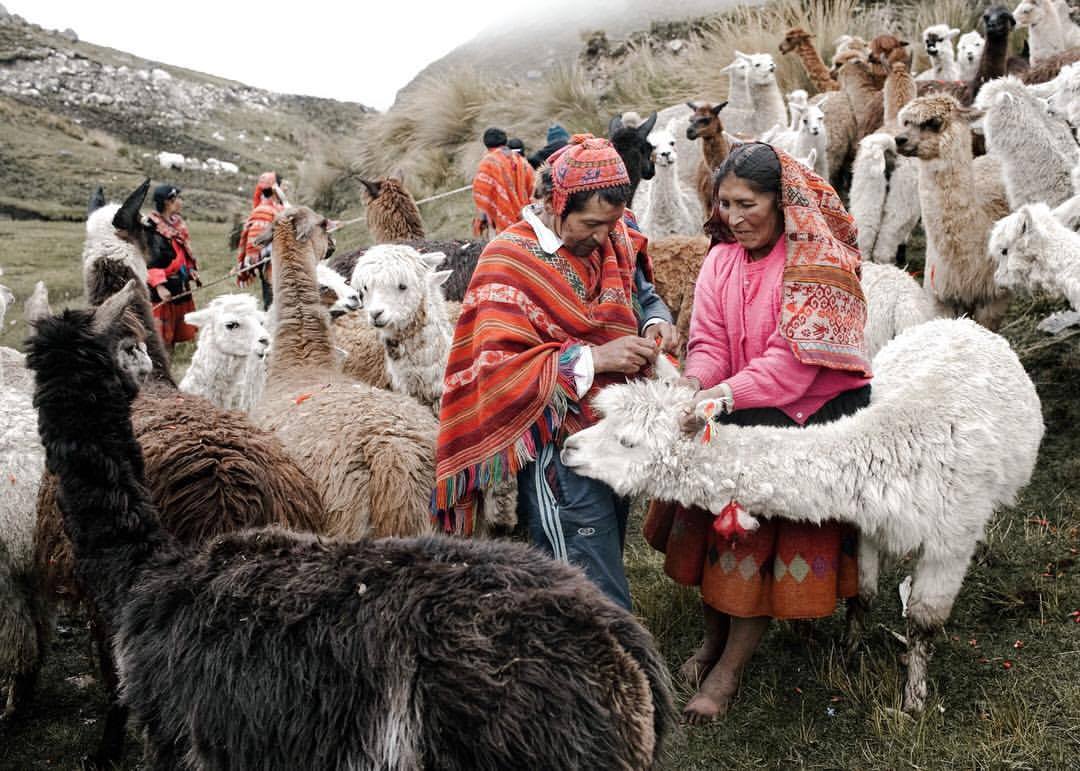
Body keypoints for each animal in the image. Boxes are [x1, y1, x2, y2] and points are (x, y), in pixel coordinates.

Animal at [565, 315, 1045, 712]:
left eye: (627, 441)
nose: (569, 448)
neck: (892, 451)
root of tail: (962, 323)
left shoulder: (950, 540)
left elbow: (925, 621)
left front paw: (913, 700)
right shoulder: (867, 524)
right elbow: (862, 593)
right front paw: (851, 655)